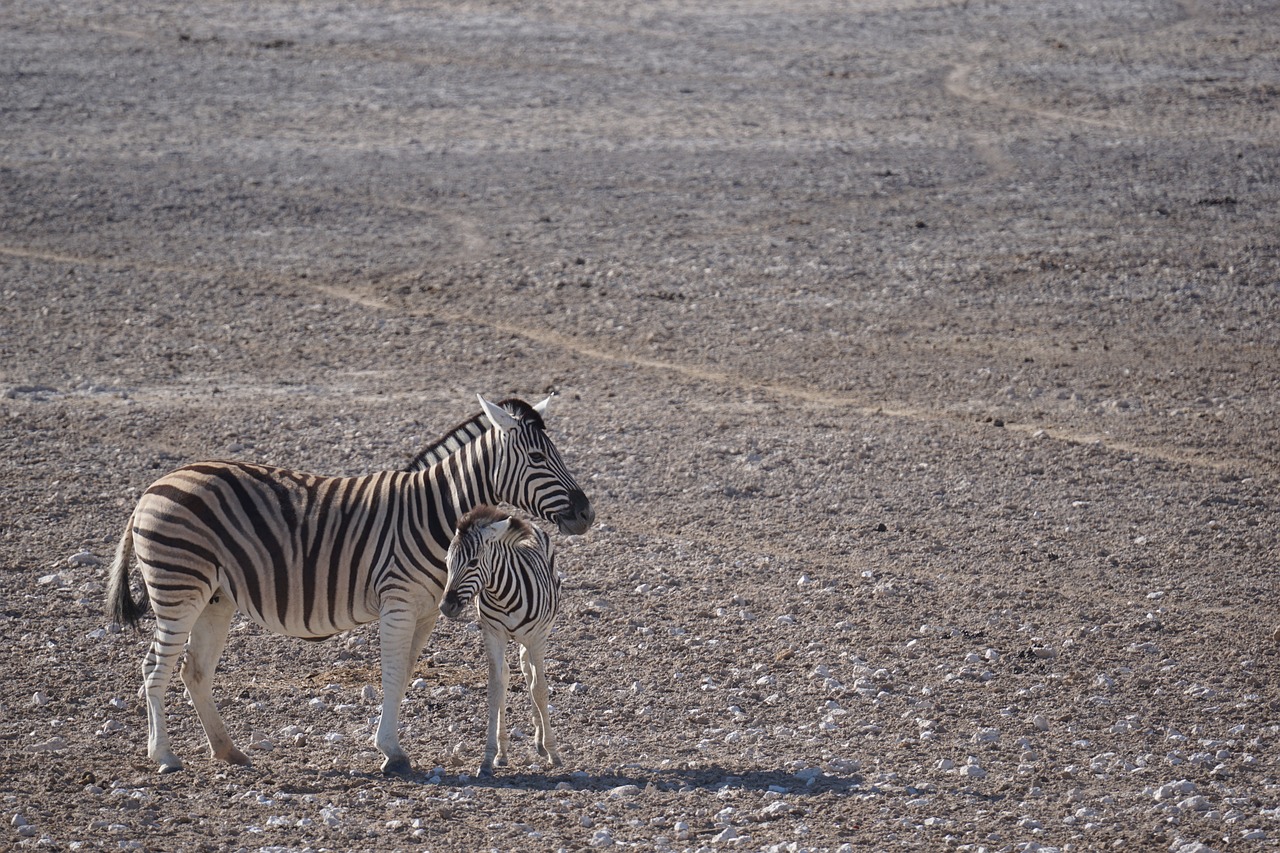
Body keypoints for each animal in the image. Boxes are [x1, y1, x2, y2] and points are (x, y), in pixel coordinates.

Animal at [440, 504, 560, 778]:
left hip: (540, 633)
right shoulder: (492, 634)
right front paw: (488, 757)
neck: (503, 595)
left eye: (473, 562)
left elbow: (540, 688)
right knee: (512, 673)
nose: (446, 606)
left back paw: (541, 741)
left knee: (531, 676)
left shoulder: (536, 637)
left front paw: (553, 751)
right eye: (447, 563)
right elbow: (496, 689)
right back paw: (505, 752)